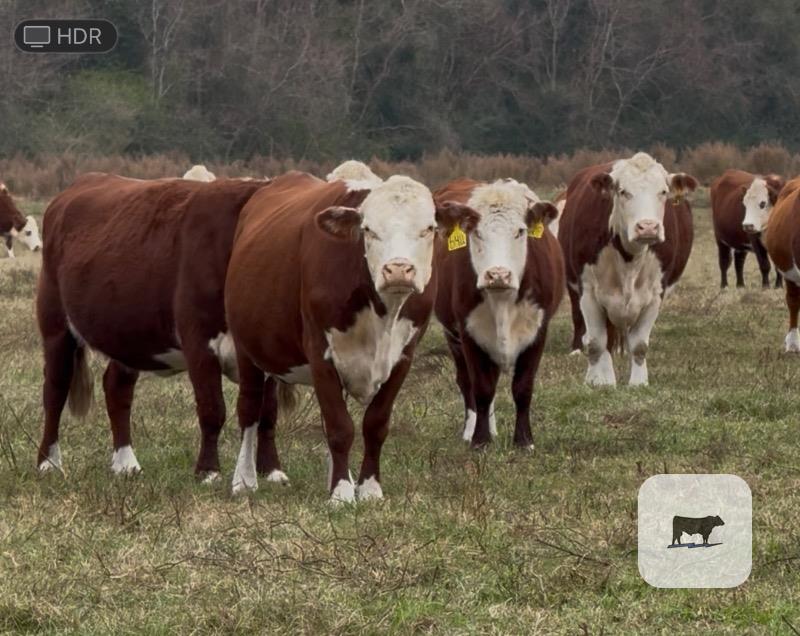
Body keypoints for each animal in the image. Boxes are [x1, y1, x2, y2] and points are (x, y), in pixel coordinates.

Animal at [36, 173, 268, 479]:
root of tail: (84, 181)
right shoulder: (198, 341)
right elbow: (212, 408)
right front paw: (208, 472)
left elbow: (267, 413)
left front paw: (271, 472)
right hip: (55, 325)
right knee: (55, 389)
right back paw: (48, 463)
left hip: (125, 334)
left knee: (117, 387)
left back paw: (126, 463)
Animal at [225, 170, 478, 503]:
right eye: (368, 229)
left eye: (428, 228)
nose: (398, 270)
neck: (382, 313)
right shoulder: (320, 353)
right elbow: (339, 426)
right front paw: (342, 493)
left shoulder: (403, 356)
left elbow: (375, 424)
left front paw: (369, 487)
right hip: (247, 350)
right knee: (250, 409)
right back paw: (244, 479)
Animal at [433, 178, 564, 448]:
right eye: (476, 232)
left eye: (520, 231)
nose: (498, 274)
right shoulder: (469, 331)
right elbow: (481, 388)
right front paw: (479, 440)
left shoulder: (538, 330)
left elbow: (523, 387)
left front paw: (524, 440)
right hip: (453, 336)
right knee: (467, 383)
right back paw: (473, 429)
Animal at [559, 152, 697, 385]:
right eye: (623, 192)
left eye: (663, 192)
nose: (648, 227)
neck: (629, 258)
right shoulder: (589, 292)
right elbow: (596, 342)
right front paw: (601, 382)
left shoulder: (655, 295)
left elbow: (639, 344)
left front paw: (638, 383)